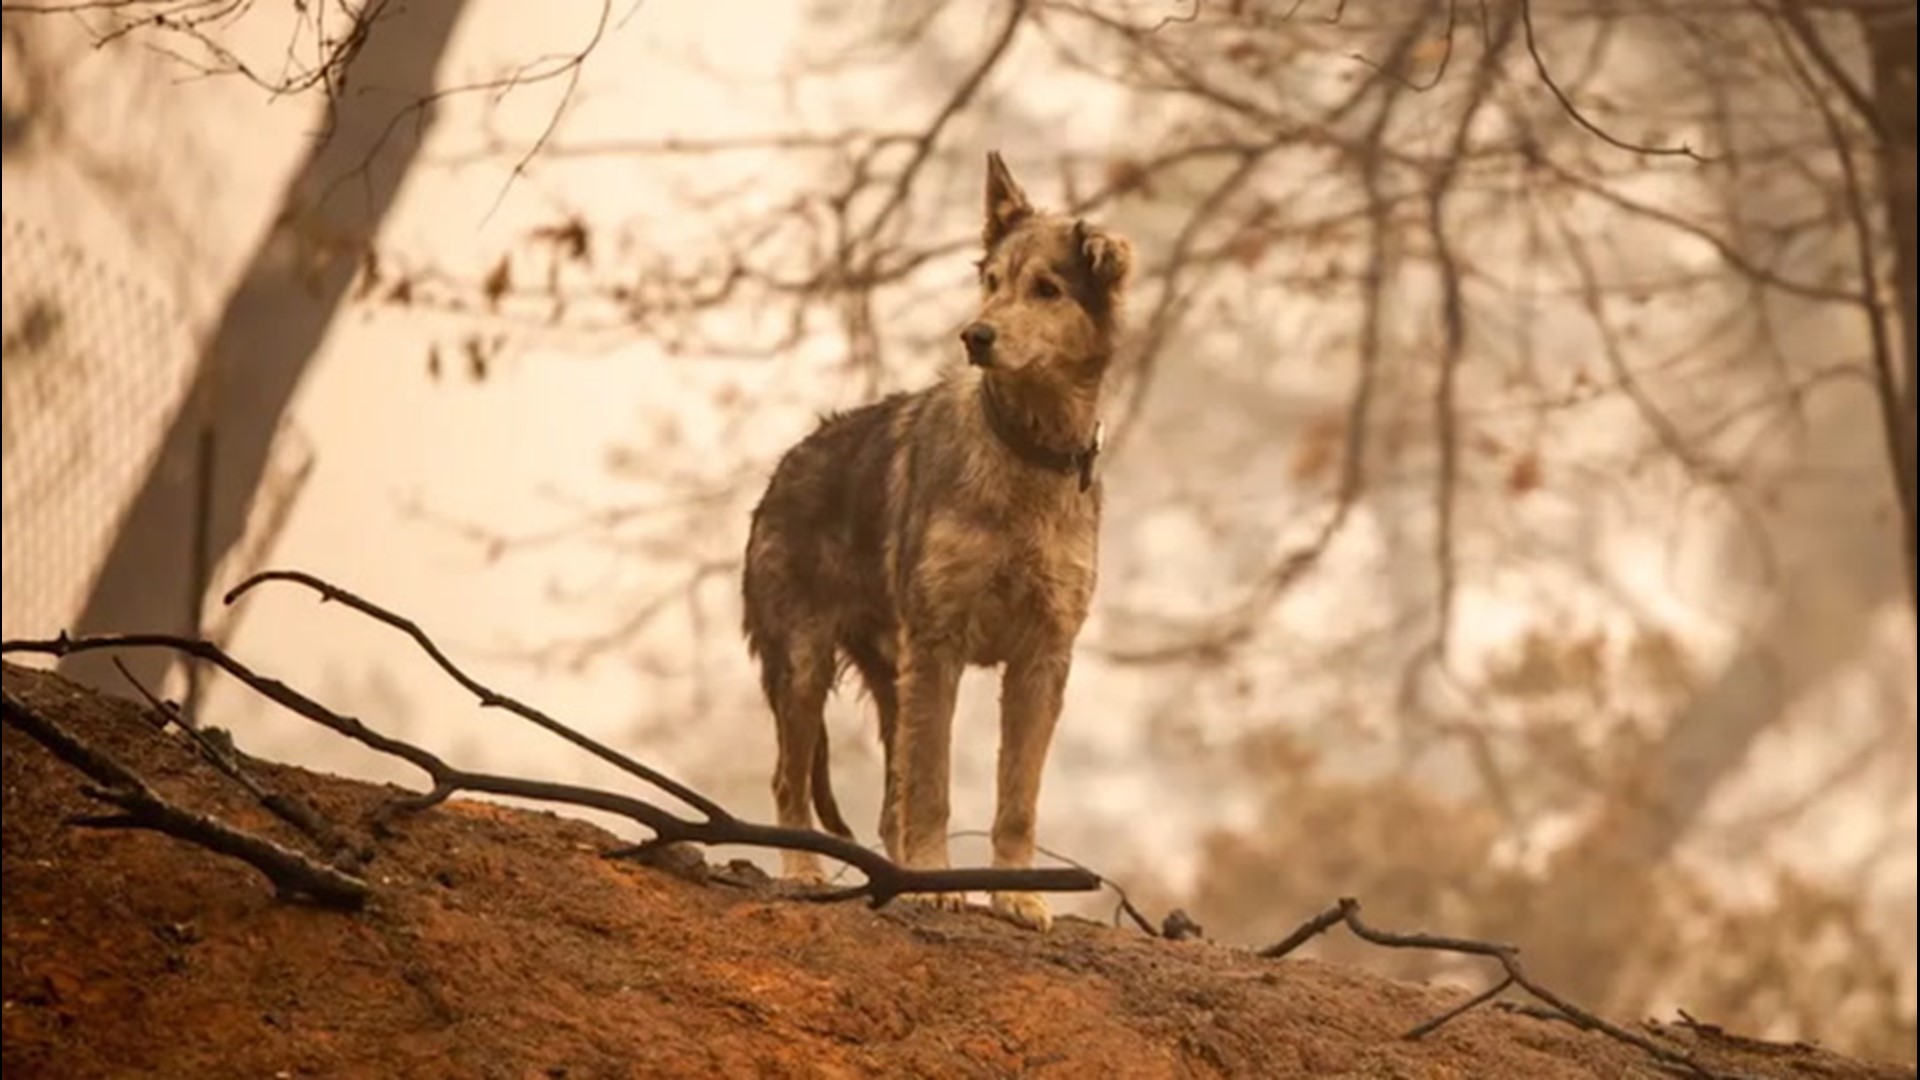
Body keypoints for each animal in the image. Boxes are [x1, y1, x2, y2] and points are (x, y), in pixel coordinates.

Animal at [733, 148, 1121, 926]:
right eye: (992, 282)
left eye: (1047, 289)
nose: (976, 336)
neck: (1025, 454)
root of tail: (788, 464)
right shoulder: (940, 647)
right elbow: (933, 791)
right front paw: (942, 885)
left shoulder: (1041, 659)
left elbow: (1016, 801)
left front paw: (1016, 896)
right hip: (805, 666)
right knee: (791, 784)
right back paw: (807, 871)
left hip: (891, 681)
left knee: (887, 807)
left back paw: (896, 872)